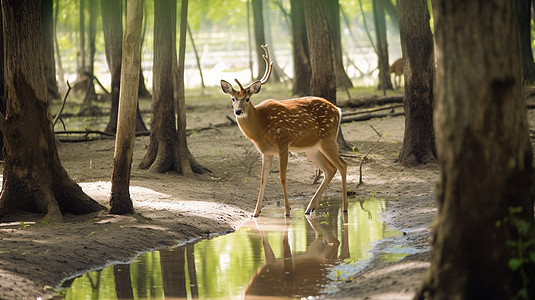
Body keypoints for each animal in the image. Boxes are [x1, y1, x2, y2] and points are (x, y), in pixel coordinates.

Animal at [221, 44, 350, 217]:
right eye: (233, 98)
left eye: (247, 99)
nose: (238, 111)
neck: (262, 126)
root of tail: (338, 110)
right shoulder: (266, 152)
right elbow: (263, 179)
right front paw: (255, 212)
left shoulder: (283, 143)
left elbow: (282, 177)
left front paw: (287, 211)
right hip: (312, 148)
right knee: (330, 169)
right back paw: (310, 207)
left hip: (328, 139)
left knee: (342, 165)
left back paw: (344, 207)